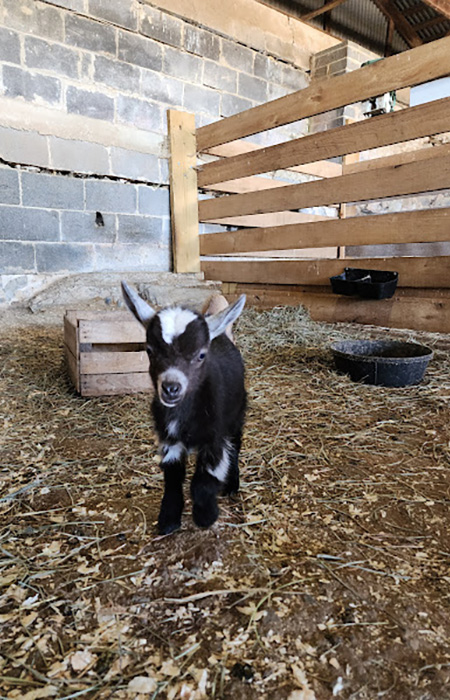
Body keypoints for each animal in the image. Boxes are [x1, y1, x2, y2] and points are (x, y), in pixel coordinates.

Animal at [121, 282, 247, 534]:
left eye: (201, 354)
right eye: (149, 350)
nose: (171, 388)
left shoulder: (215, 439)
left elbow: (203, 481)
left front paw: (205, 516)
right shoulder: (168, 439)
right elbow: (172, 478)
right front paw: (168, 520)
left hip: (237, 413)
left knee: (236, 444)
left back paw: (232, 485)